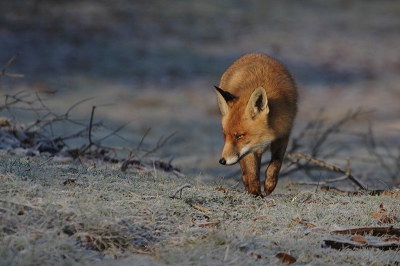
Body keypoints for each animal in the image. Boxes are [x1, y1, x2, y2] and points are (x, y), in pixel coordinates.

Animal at [216, 53, 296, 196]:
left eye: (240, 136)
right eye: (225, 136)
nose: (222, 161)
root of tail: (252, 54)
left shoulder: (284, 134)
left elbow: (276, 163)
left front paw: (269, 184)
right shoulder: (248, 149)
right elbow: (252, 170)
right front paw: (254, 192)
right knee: (246, 169)